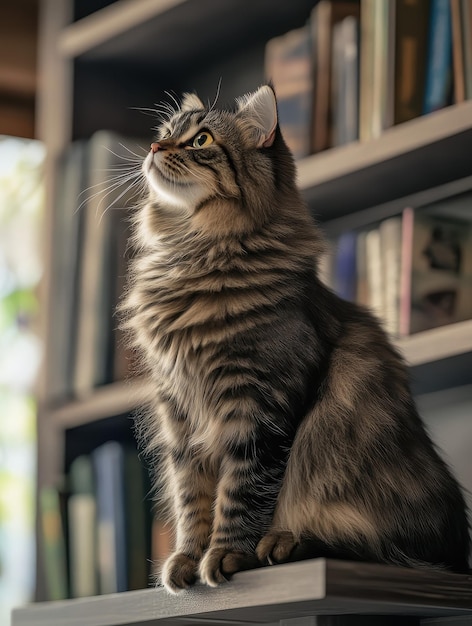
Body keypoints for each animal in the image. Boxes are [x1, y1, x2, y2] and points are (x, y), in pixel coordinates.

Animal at [121, 85, 468, 592]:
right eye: (165, 133)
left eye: (201, 140)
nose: (151, 147)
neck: (194, 252)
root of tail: (462, 551)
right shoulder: (180, 413)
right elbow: (192, 499)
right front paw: (186, 558)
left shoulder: (259, 408)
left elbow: (240, 493)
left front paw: (225, 554)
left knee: (372, 548)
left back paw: (282, 544)